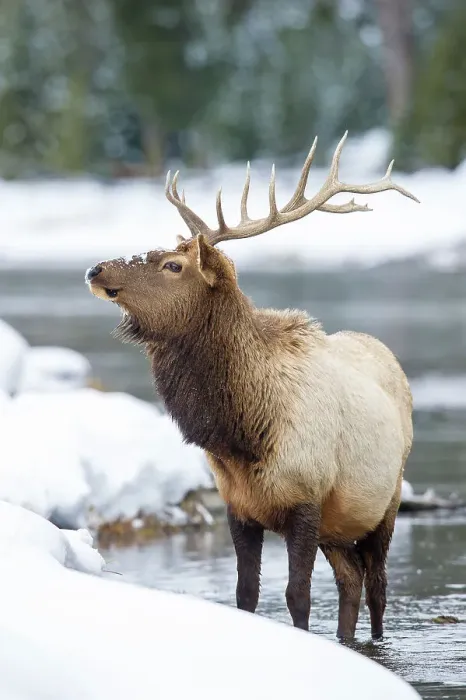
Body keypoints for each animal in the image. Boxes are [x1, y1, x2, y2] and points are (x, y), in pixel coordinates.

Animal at [86, 132, 418, 640]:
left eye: (173, 265)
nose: (96, 270)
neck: (243, 433)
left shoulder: (306, 498)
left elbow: (297, 596)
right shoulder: (238, 506)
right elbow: (245, 595)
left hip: (386, 499)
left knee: (377, 587)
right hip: (339, 525)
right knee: (351, 581)